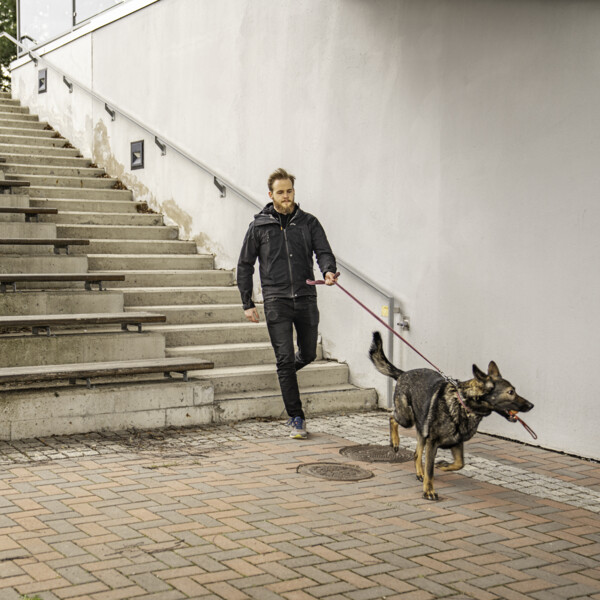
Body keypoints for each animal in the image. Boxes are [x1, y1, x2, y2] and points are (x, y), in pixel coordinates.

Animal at [370, 332, 536, 502]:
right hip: (407, 418)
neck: (463, 404)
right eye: (510, 392)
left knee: (416, 453)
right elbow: (430, 470)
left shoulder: (456, 442)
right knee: (392, 417)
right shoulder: (433, 443)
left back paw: (419, 472)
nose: (531, 405)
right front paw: (429, 491)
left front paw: (444, 465)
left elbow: (459, 463)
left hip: (421, 429)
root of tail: (403, 373)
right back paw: (395, 442)